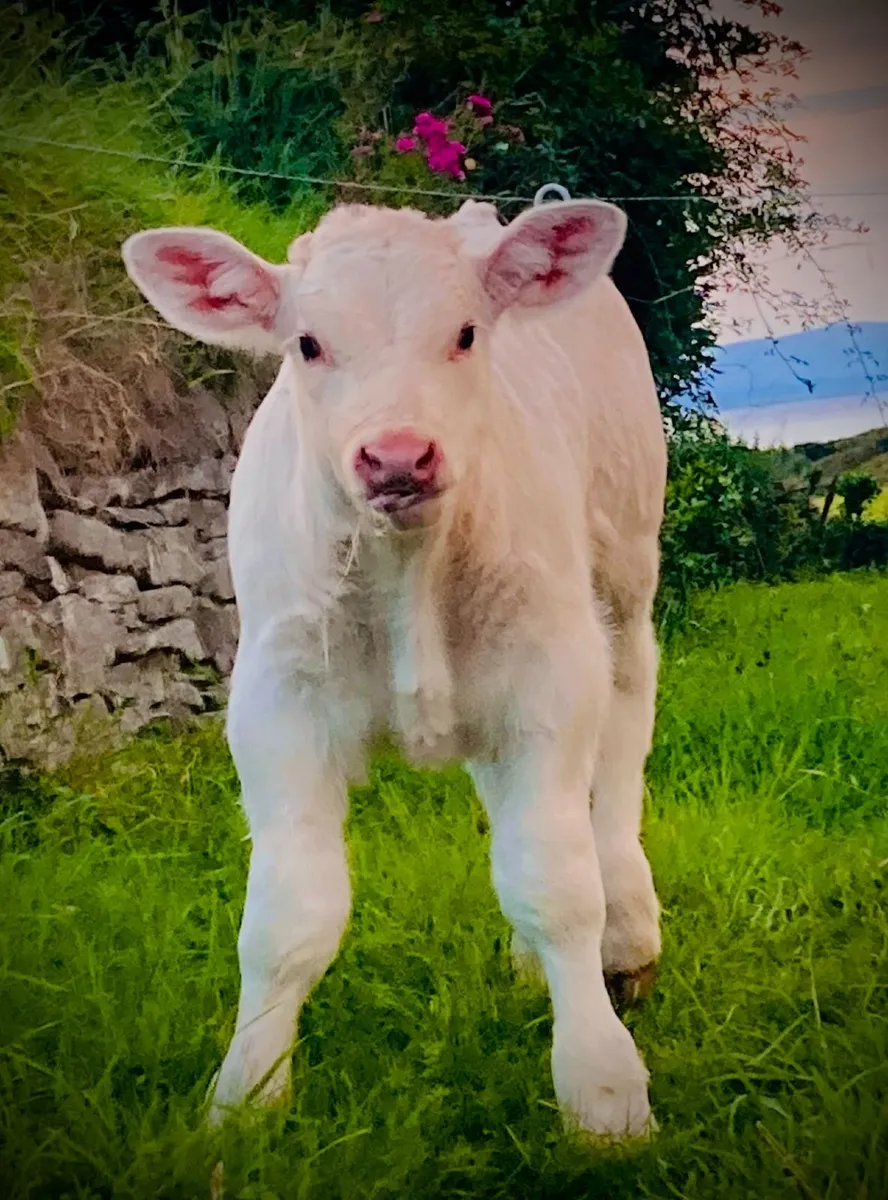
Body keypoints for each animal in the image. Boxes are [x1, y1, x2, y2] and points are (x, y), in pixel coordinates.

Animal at [122, 194, 667, 1140]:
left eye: (467, 333)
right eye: (306, 343)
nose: (399, 456)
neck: (407, 565)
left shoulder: (550, 674)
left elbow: (558, 883)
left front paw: (602, 1091)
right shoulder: (277, 703)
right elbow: (287, 918)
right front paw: (245, 1101)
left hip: (626, 566)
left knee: (623, 741)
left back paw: (628, 933)